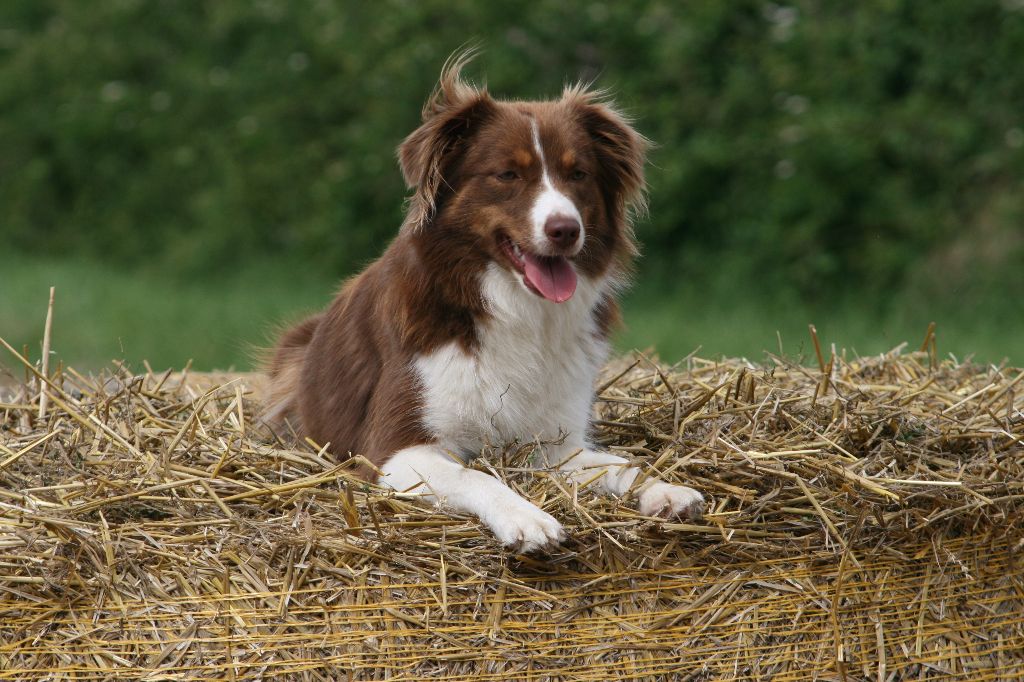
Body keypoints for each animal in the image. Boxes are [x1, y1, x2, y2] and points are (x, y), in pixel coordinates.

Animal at [264, 53, 704, 552]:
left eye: (578, 174)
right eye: (507, 174)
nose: (565, 229)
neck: (512, 308)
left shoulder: (554, 445)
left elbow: (620, 465)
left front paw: (664, 490)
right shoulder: (396, 452)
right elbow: (477, 476)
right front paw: (527, 518)